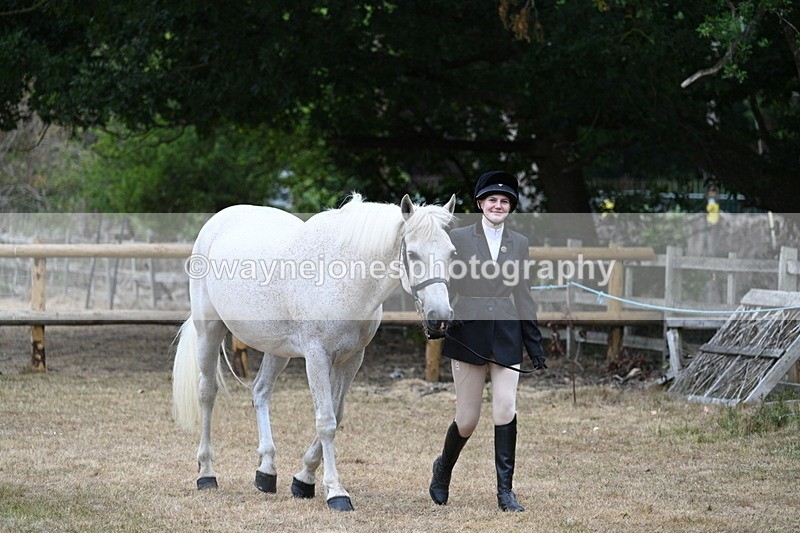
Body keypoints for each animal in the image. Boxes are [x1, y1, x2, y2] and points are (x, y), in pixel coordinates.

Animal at [172, 193, 456, 511]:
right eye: (414, 254)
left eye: (451, 253)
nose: (439, 318)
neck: (343, 277)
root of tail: (217, 221)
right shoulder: (317, 356)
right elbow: (326, 421)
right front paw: (335, 491)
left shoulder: (351, 360)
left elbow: (337, 414)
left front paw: (304, 478)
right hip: (209, 330)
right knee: (207, 393)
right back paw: (207, 473)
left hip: (277, 350)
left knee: (260, 392)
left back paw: (266, 471)